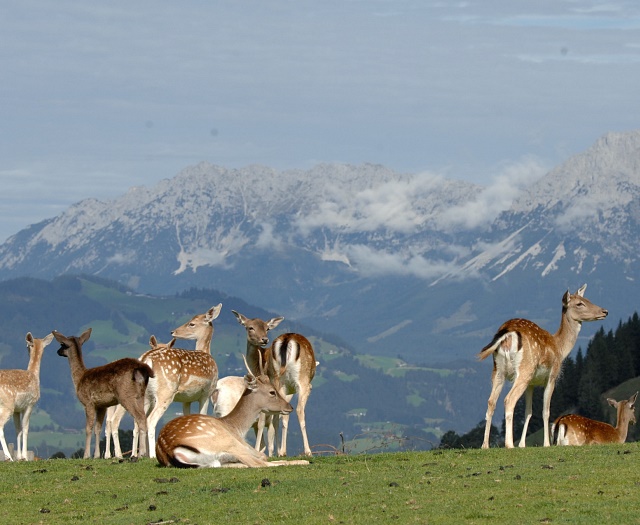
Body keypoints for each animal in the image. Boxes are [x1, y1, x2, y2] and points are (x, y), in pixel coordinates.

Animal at [53, 328, 155, 458]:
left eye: (62, 344)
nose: (58, 351)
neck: (79, 379)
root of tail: (142, 368)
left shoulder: (88, 402)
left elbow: (88, 428)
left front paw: (86, 455)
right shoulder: (102, 405)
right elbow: (98, 428)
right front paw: (96, 455)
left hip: (126, 395)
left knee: (140, 417)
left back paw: (140, 453)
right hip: (141, 395)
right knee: (142, 417)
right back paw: (142, 453)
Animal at [154, 356, 306, 466]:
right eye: (272, 392)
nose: (289, 407)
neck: (236, 427)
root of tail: (168, 449)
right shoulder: (242, 444)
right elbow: (263, 456)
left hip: (213, 460)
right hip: (228, 442)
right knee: (258, 463)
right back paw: (303, 461)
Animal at [232, 310, 318, 456]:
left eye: (267, 328)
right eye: (250, 327)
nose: (264, 339)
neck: (256, 366)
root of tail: (287, 341)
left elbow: (268, 418)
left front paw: (268, 450)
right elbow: (276, 417)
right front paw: (274, 451)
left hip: (287, 381)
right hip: (299, 381)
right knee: (296, 410)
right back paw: (301, 451)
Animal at [478, 284, 608, 448]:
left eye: (588, 299)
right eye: (579, 303)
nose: (604, 311)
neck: (560, 348)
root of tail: (507, 334)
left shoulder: (532, 384)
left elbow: (528, 411)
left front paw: (522, 444)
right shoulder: (552, 376)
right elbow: (545, 411)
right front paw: (546, 443)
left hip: (498, 369)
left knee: (491, 402)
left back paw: (485, 445)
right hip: (525, 369)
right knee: (509, 399)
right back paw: (509, 444)